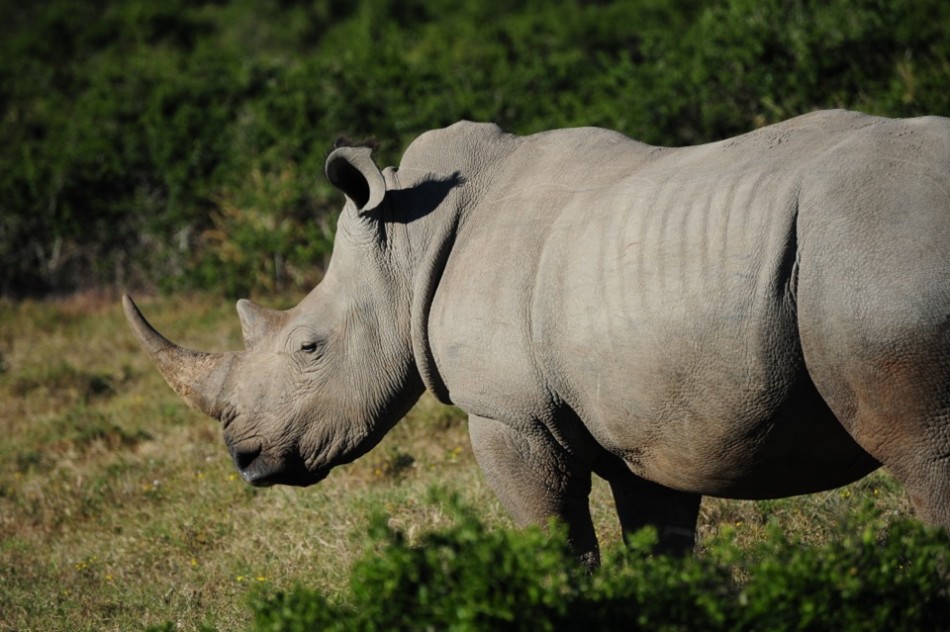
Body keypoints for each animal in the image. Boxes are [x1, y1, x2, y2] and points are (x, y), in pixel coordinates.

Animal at [124, 109, 950, 563]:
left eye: (308, 348)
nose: (244, 459)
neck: (406, 247)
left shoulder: (509, 413)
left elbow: (555, 542)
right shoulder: (650, 421)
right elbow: (660, 546)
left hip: (876, 255)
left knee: (924, 451)